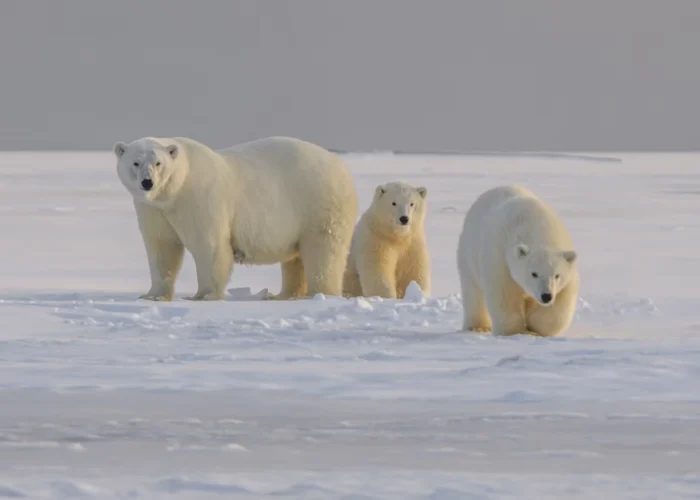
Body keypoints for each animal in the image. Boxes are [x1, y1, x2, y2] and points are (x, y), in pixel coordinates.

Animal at [113, 136, 358, 301]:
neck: (174, 192)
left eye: (158, 163)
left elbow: (209, 246)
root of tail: (342, 167)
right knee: (295, 258)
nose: (147, 182)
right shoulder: (154, 210)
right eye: (135, 162)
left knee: (323, 251)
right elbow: (162, 247)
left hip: (317, 204)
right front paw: (153, 295)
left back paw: (320, 293)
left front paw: (204, 295)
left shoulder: (200, 199)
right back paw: (283, 295)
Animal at [456, 184, 579, 337]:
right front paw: (515, 331)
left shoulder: (568, 274)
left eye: (557, 275)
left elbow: (560, 306)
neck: (538, 229)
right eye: (534, 273)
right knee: (473, 291)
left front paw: (534, 325)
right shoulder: (501, 260)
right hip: (468, 251)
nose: (546, 296)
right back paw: (477, 327)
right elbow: (504, 296)